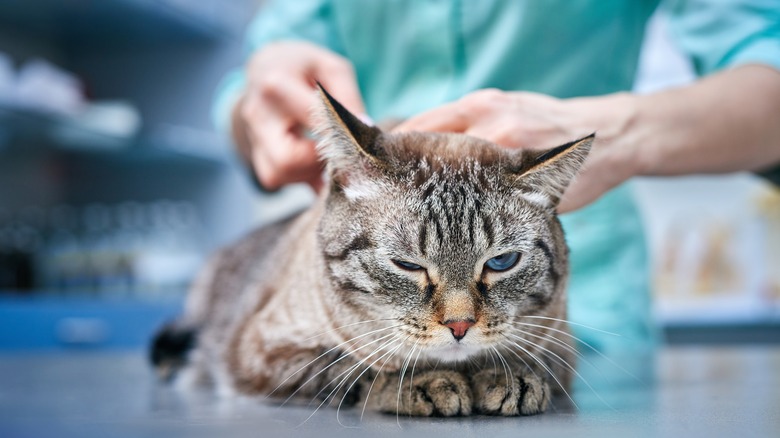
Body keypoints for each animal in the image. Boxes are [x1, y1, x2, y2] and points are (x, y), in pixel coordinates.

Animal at [151, 85, 592, 418]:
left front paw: (505, 378)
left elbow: (524, 360)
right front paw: (426, 383)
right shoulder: (265, 353)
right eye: (407, 264)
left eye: (501, 262)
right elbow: (357, 369)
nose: (460, 326)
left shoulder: (560, 344)